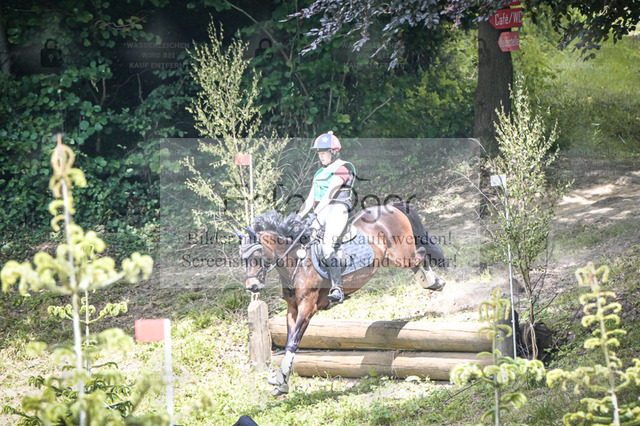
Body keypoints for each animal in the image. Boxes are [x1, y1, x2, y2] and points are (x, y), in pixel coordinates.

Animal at [235, 202, 447, 396]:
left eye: (257, 256)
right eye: (243, 259)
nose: (252, 287)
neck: (297, 262)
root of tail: (390, 206)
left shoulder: (307, 307)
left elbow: (293, 342)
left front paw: (281, 380)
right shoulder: (292, 309)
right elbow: (289, 339)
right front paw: (282, 380)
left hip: (401, 254)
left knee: (421, 255)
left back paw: (436, 282)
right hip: (389, 258)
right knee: (416, 262)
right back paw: (432, 283)